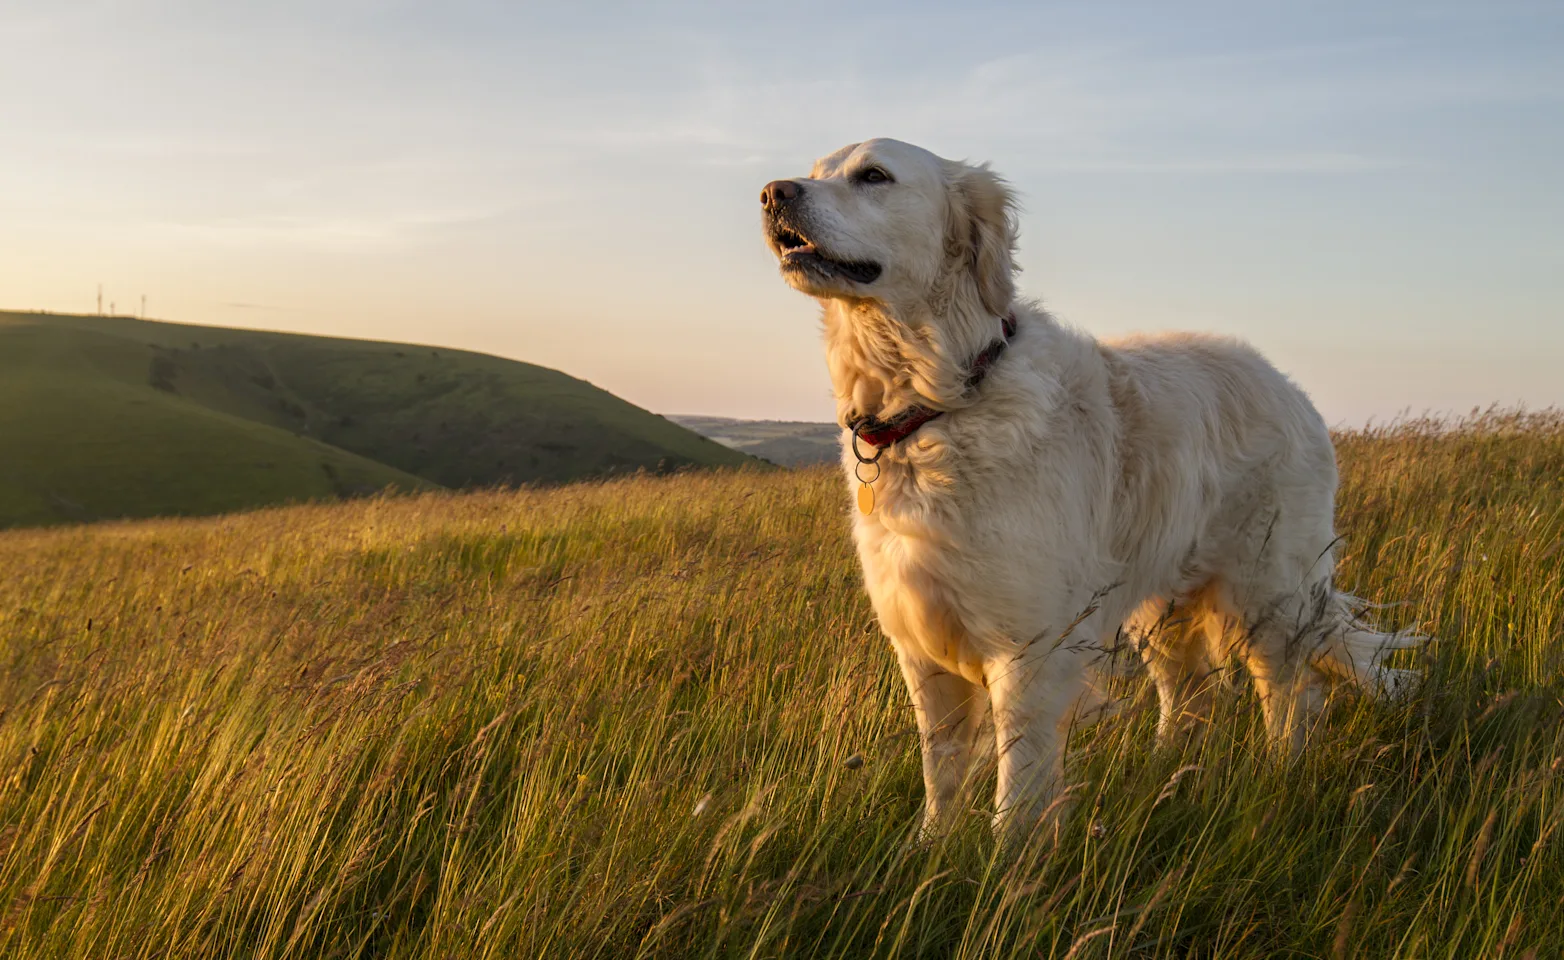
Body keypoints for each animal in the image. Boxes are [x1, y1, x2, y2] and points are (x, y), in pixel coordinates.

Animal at [756, 139, 1420, 844]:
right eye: (816, 171)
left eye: (874, 175)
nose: (773, 193)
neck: (941, 398)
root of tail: (1289, 386)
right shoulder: (921, 647)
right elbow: (942, 769)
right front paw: (930, 847)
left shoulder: (1028, 648)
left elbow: (1018, 782)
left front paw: (1004, 862)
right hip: (1162, 608)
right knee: (1191, 697)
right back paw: (1163, 780)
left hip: (1267, 593)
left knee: (1290, 691)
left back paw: (1278, 777)